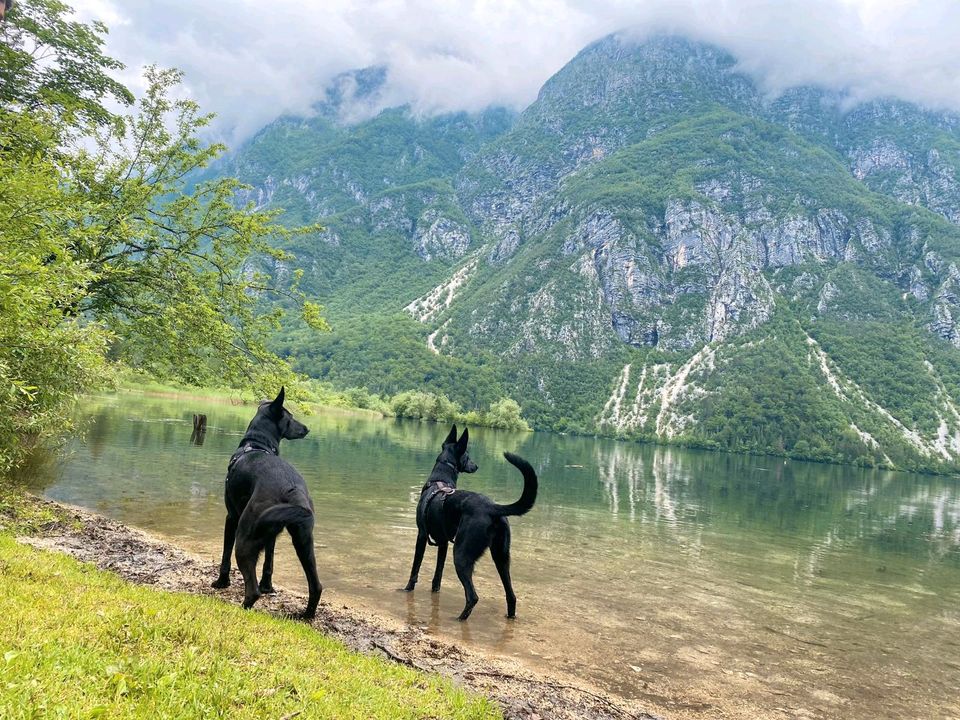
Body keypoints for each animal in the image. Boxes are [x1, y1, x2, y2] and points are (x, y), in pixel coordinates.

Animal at [211, 388, 322, 620]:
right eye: (290, 418)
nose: (306, 428)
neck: (257, 445)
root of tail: (292, 489)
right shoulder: (272, 535)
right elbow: (269, 561)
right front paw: (268, 586)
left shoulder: (231, 517)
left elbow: (225, 555)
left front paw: (221, 582)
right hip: (303, 542)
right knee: (316, 586)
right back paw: (305, 616)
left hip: (245, 539)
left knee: (252, 591)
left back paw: (242, 609)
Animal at [402, 424, 540, 620]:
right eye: (467, 456)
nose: (476, 466)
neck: (439, 481)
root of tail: (493, 507)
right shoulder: (443, 543)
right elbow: (438, 575)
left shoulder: (421, 535)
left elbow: (415, 568)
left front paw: (407, 588)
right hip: (501, 558)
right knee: (511, 596)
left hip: (461, 555)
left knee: (472, 596)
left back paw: (460, 618)